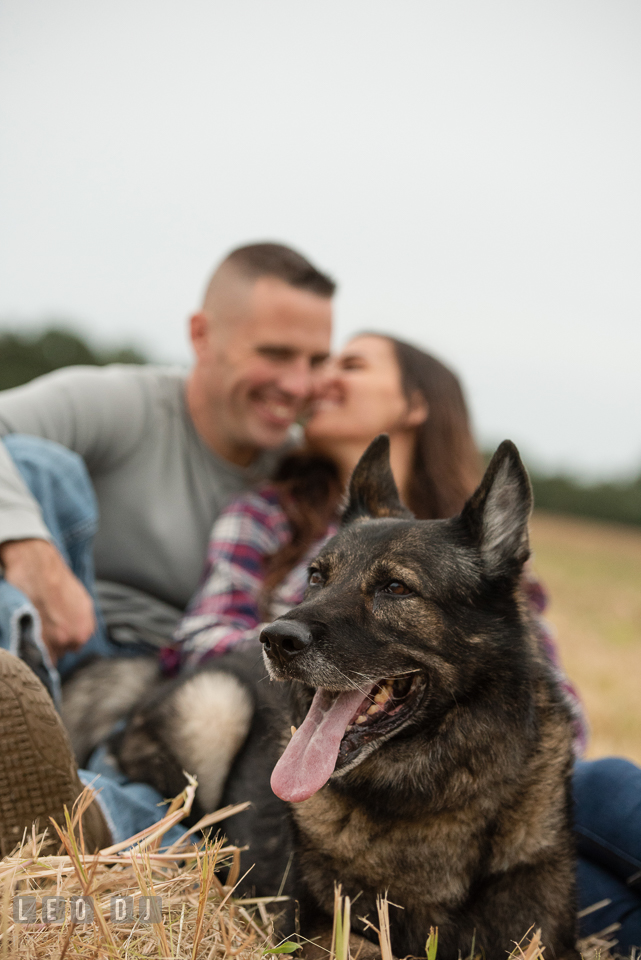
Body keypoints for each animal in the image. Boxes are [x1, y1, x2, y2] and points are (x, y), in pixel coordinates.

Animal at [106, 438, 580, 956]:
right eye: (316, 577)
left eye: (396, 588)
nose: (274, 639)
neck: (428, 791)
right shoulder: (311, 927)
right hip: (216, 704)